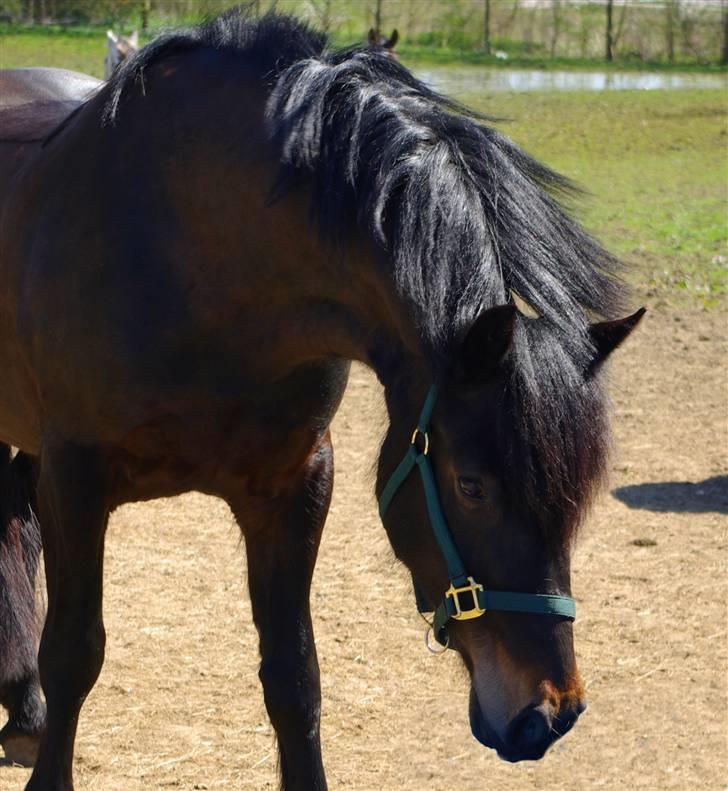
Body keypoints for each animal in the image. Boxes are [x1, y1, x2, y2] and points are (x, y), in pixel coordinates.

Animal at [0, 7, 644, 791]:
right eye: (472, 485)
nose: (548, 714)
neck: (190, 249)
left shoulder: (294, 484)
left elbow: (294, 675)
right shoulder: (76, 478)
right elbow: (73, 652)